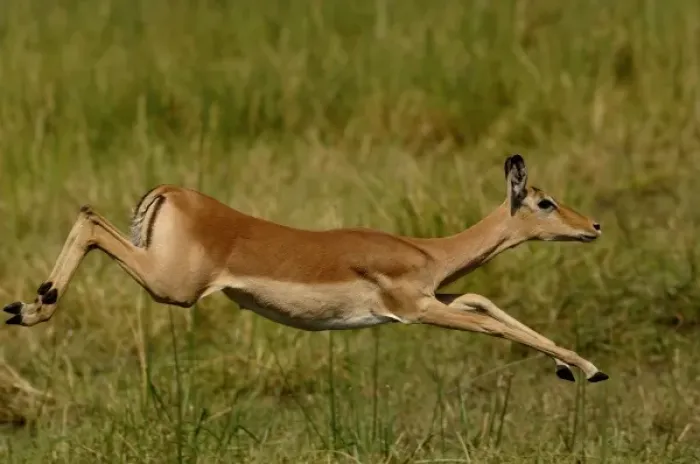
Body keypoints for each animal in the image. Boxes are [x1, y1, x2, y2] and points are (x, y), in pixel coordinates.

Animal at [3, 154, 608, 383]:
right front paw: (587, 368)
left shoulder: (436, 298)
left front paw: (579, 366)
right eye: (545, 201)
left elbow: (483, 301)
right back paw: (33, 308)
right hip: (172, 286)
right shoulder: (414, 309)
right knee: (88, 218)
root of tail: (171, 191)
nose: (595, 226)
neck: (427, 251)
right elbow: (487, 321)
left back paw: (26, 305)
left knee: (87, 216)